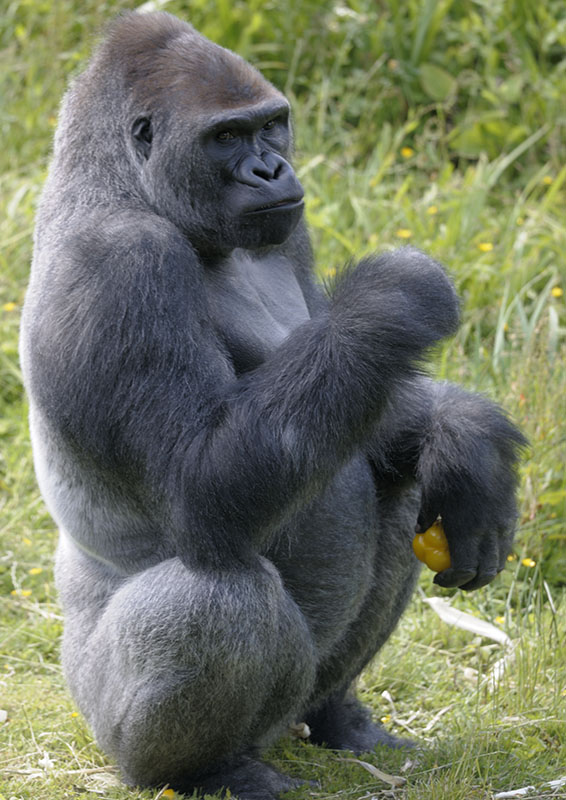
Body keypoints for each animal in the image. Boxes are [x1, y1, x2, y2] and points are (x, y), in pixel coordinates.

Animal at [20, 11, 526, 799]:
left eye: (271, 125)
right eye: (226, 137)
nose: (271, 171)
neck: (122, 186)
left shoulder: (293, 233)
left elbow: (365, 392)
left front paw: (468, 443)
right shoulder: (120, 265)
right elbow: (199, 483)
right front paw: (396, 295)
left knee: (395, 493)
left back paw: (340, 716)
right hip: (102, 716)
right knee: (217, 602)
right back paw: (211, 770)